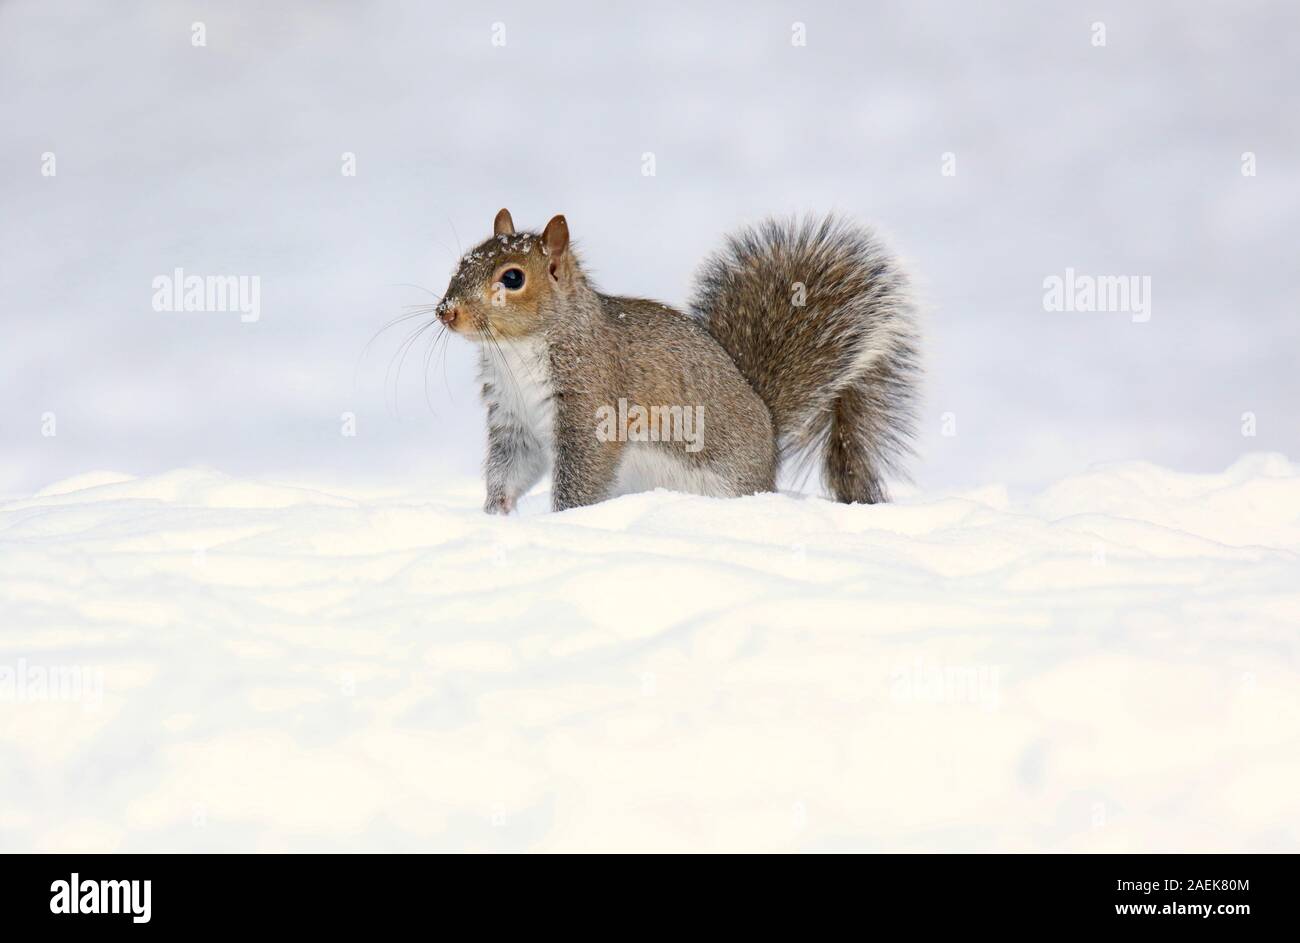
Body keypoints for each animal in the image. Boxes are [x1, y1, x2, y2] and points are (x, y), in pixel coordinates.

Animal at [431, 209, 920, 515]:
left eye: (513, 278)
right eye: (461, 262)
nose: (446, 312)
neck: (516, 352)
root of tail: (768, 445)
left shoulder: (594, 404)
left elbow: (581, 476)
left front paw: (562, 521)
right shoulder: (515, 419)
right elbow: (511, 468)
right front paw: (495, 513)